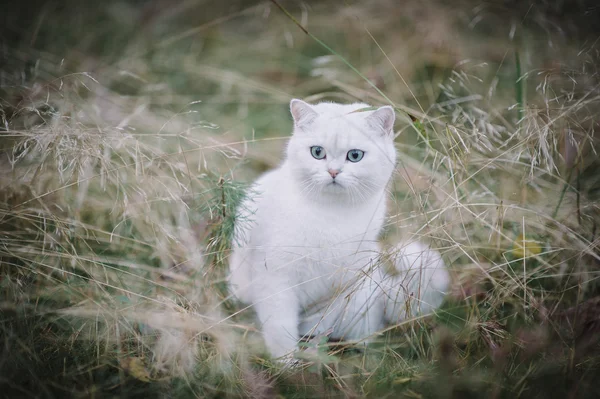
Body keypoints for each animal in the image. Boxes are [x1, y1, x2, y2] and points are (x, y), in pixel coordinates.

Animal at [230, 99, 450, 360]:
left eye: (354, 156)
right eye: (317, 152)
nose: (333, 172)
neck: (332, 216)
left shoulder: (342, 287)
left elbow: (320, 325)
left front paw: (313, 353)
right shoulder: (275, 279)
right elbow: (280, 328)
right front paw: (287, 363)